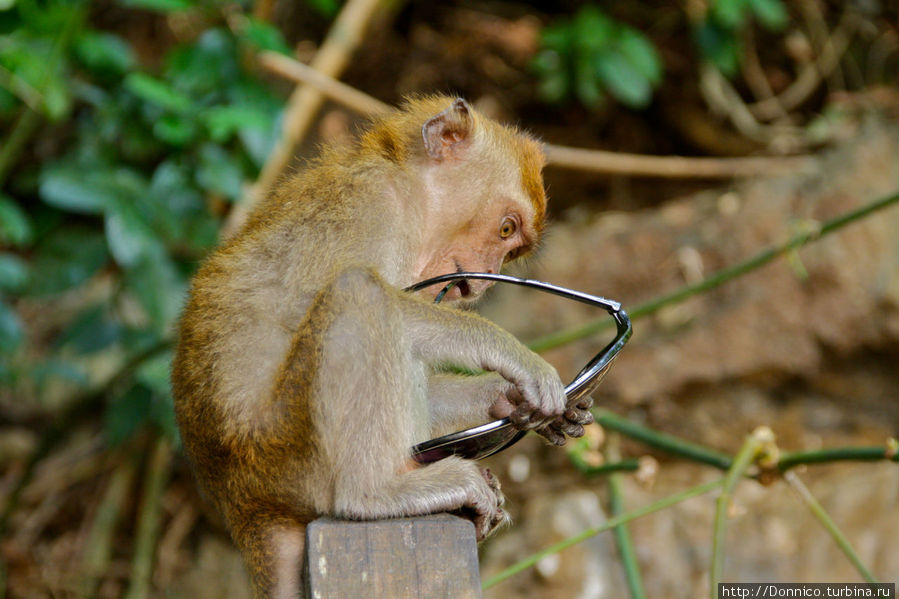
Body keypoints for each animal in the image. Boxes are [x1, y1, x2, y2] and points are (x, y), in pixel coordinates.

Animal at [171, 96, 596, 596]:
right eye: (507, 229)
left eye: (510, 250)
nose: (484, 280)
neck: (406, 185)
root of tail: (245, 505)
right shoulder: (372, 213)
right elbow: (319, 304)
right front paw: (511, 355)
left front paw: (510, 399)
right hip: (288, 450)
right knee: (361, 294)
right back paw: (376, 492)